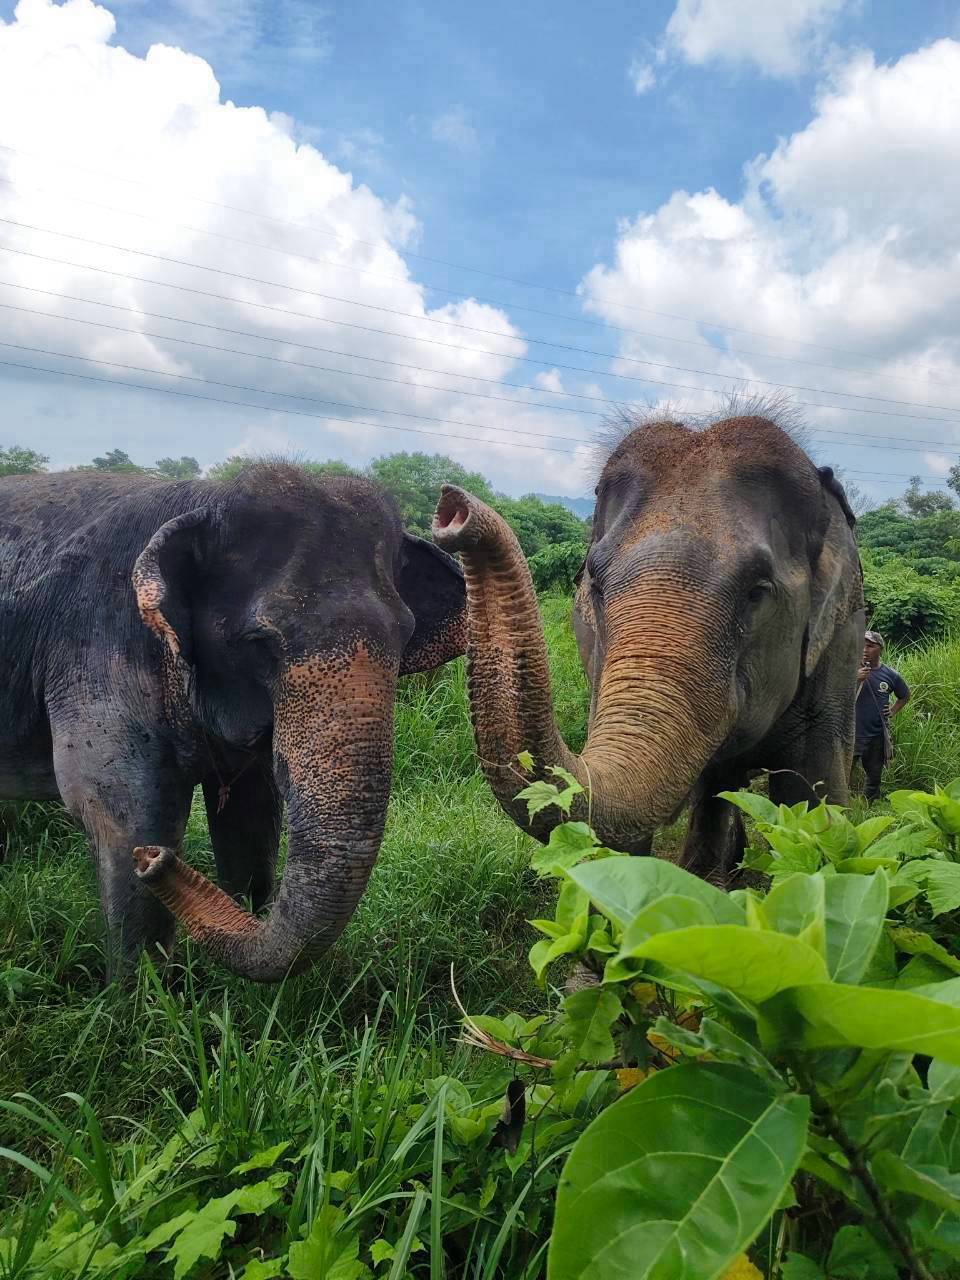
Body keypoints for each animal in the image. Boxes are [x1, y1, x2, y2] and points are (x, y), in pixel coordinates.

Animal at [0, 463, 466, 980]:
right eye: (261, 643)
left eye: (405, 636)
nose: (154, 863)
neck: (206, 499)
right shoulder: (97, 651)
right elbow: (129, 812)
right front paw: (141, 996)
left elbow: (251, 817)